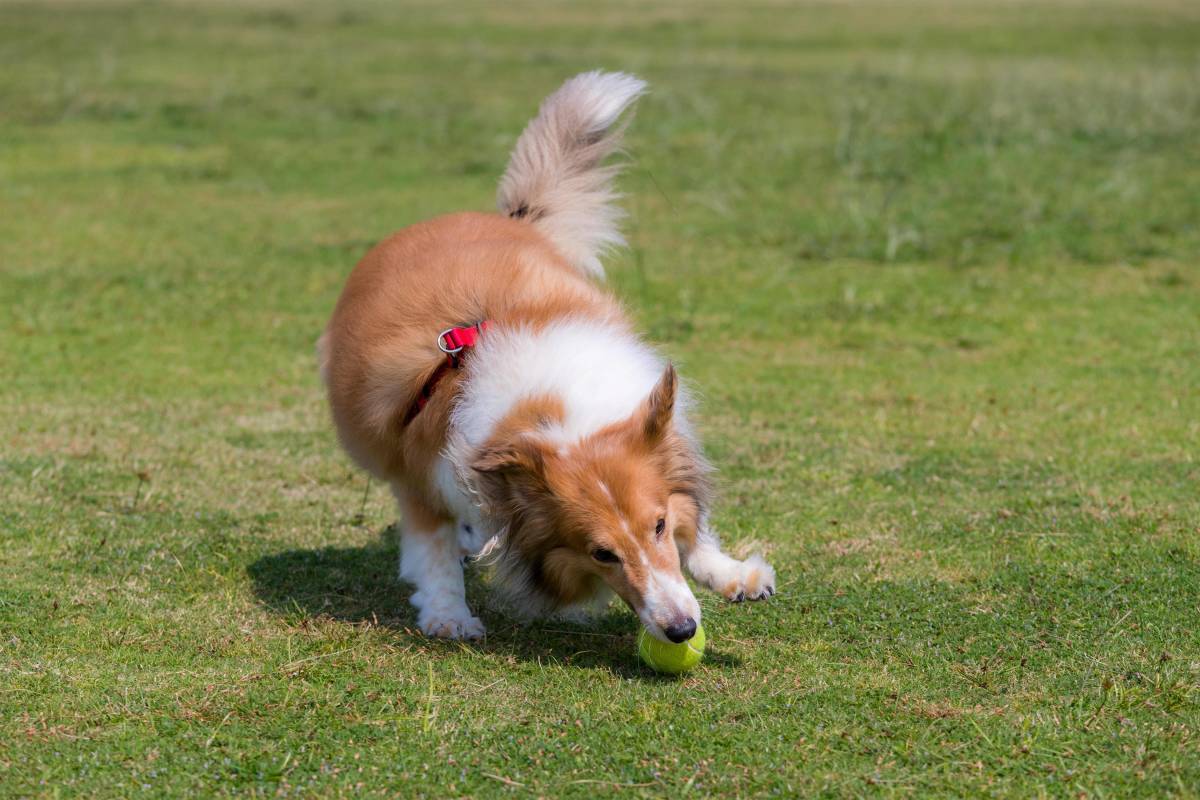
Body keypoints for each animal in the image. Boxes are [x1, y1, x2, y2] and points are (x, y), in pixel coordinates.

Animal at [316, 70, 777, 642]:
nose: (682, 630)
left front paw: (732, 572)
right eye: (601, 553)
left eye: (659, 525)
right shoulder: (422, 474)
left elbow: (696, 524)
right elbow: (434, 552)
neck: (548, 410)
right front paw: (449, 616)